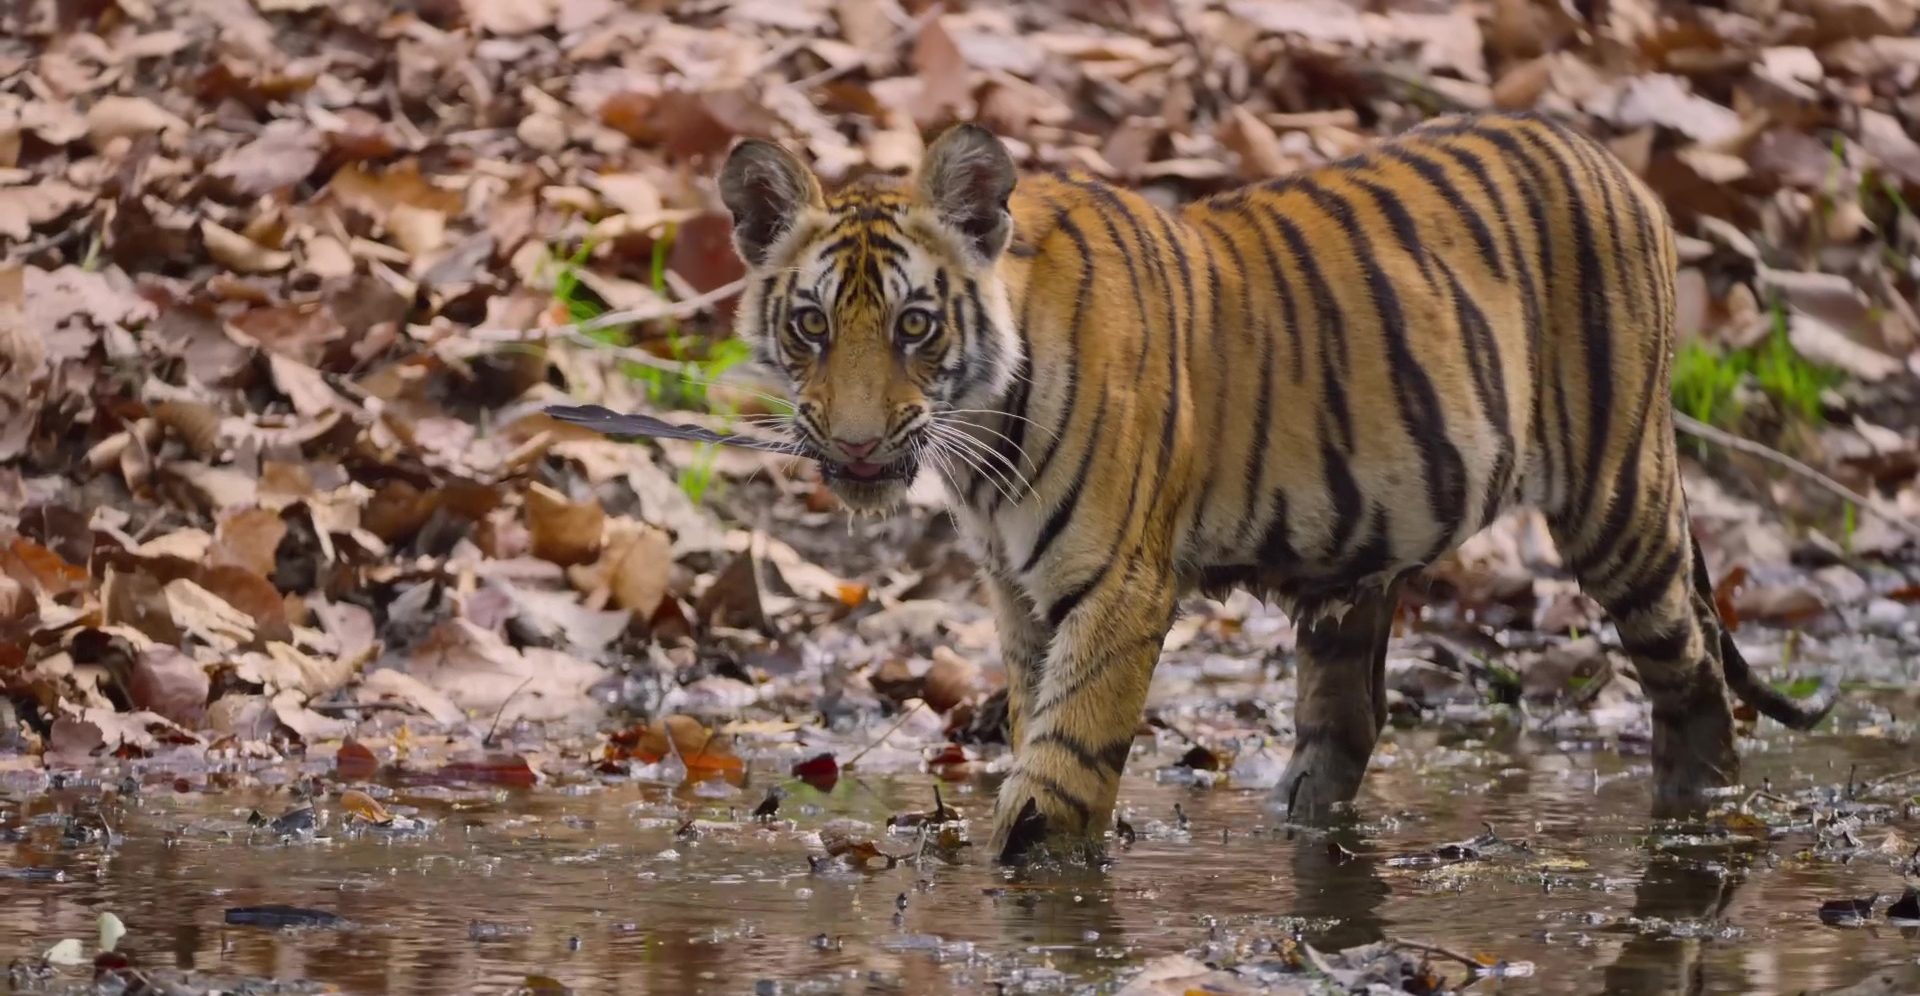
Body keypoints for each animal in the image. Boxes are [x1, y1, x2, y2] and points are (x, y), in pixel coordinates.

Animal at [554, 111, 1835, 862]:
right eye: (812, 324)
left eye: (917, 325)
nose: (863, 450)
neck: (981, 438)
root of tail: (1617, 161)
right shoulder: (1018, 596)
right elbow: (1035, 717)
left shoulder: (1115, 585)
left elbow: (1064, 766)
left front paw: (1035, 867)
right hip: (1365, 556)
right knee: (1346, 720)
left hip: (1618, 498)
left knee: (1688, 675)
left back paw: (1700, 816)